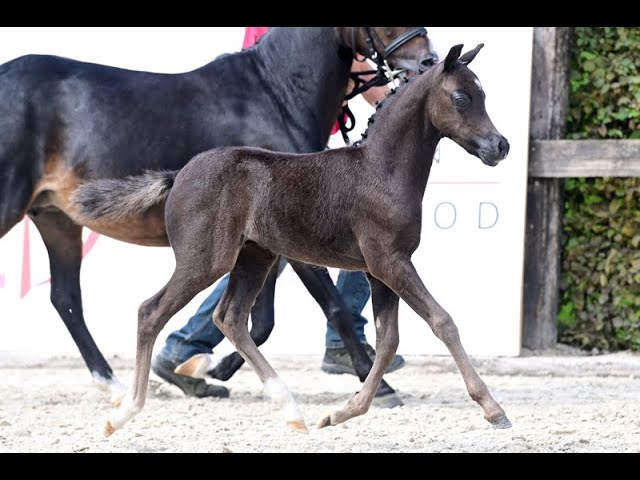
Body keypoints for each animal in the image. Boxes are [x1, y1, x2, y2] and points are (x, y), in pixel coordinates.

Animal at [0, 25, 438, 402]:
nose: (428, 60)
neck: (276, 96)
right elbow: (333, 307)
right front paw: (378, 385)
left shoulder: (268, 240)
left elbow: (261, 320)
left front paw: (208, 370)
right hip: (14, 204)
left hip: (55, 218)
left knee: (66, 299)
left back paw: (114, 384)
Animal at [74, 44, 516, 436]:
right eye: (462, 97)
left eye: (484, 95)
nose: (501, 146)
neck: (380, 170)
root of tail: (178, 173)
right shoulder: (389, 261)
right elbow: (442, 321)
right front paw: (493, 409)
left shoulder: (381, 269)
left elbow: (388, 341)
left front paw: (341, 413)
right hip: (206, 260)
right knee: (151, 312)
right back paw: (123, 412)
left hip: (254, 258)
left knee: (230, 318)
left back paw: (292, 411)